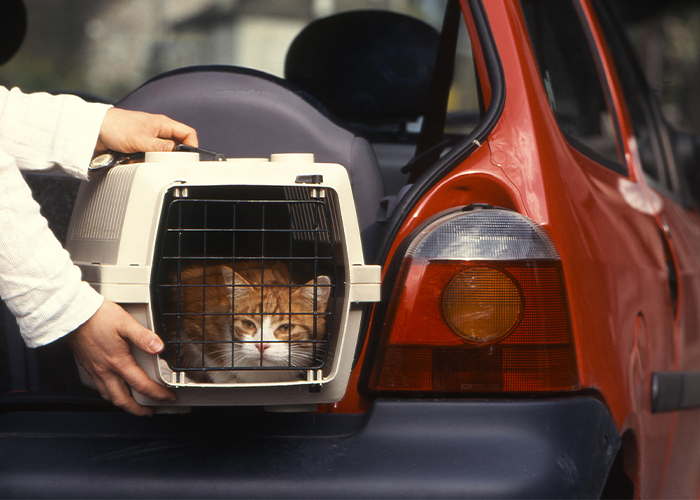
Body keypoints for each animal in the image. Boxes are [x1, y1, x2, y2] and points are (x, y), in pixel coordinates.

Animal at [166, 260, 330, 384]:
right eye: (248, 324)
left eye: (285, 327)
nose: (261, 345)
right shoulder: (193, 323)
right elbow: (209, 361)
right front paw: (227, 381)